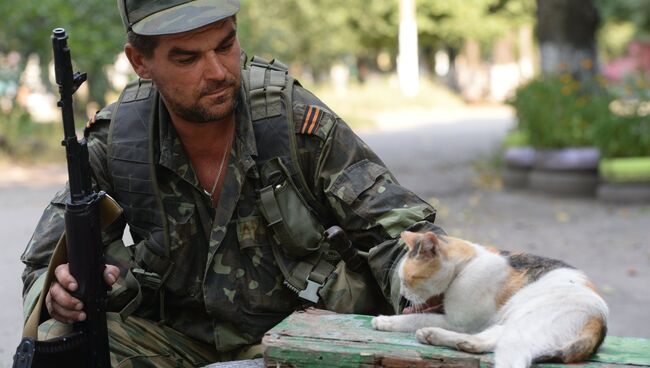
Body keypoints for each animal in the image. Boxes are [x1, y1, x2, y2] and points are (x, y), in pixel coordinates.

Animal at [370, 230, 608, 368]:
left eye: (408, 280)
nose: (403, 293)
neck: (466, 266)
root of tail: (600, 320)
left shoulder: (459, 322)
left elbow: (414, 318)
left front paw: (385, 320)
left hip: (522, 326)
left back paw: (433, 334)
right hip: (509, 324)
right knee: (486, 341)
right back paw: (436, 337)